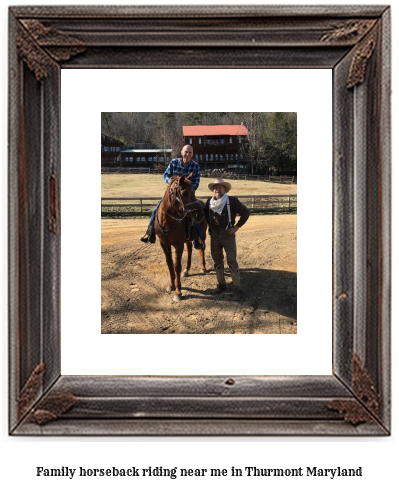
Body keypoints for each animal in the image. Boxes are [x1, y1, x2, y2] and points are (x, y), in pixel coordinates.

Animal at [155, 173, 208, 304]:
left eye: (193, 190)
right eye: (184, 193)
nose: (200, 214)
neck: (167, 220)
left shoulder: (178, 245)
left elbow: (177, 266)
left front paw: (178, 292)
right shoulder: (164, 244)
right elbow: (169, 264)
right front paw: (171, 284)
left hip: (203, 235)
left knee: (202, 249)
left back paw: (203, 267)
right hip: (188, 239)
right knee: (189, 250)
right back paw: (187, 270)